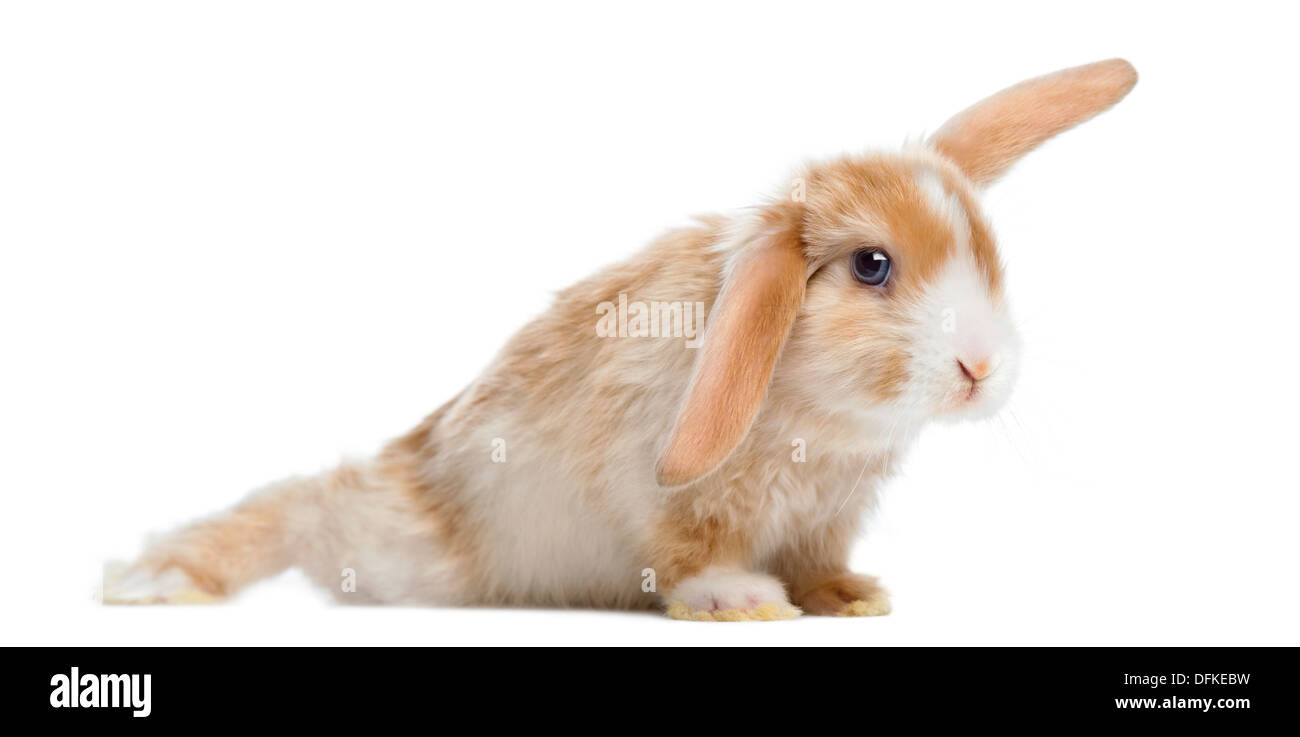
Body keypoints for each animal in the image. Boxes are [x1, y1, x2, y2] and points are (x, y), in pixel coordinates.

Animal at [104, 59, 1138, 623]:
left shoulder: (829, 515)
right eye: (873, 266)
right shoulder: (664, 498)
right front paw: (743, 601)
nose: (981, 369)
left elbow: (820, 560)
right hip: (381, 534)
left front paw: (851, 597)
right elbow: (688, 553)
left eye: (989, 251)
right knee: (289, 510)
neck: (819, 413)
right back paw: (152, 579)